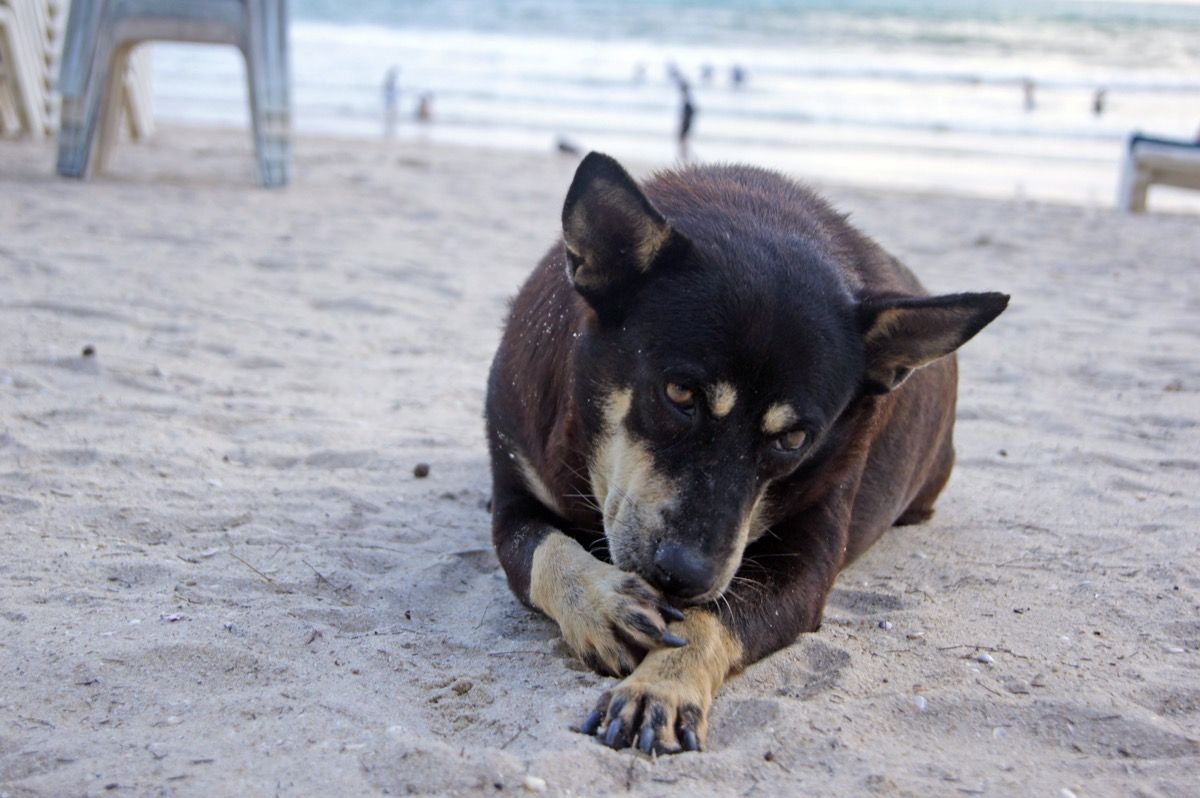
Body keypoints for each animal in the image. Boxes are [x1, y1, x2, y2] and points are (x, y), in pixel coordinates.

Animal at [482, 151, 1008, 753]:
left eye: (794, 439)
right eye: (679, 393)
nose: (685, 575)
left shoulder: (807, 560)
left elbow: (714, 618)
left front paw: (660, 687)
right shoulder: (516, 489)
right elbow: (545, 550)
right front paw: (601, 601)